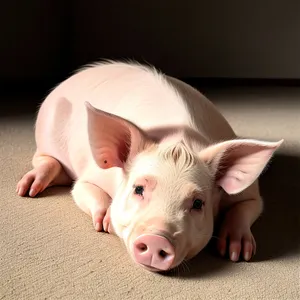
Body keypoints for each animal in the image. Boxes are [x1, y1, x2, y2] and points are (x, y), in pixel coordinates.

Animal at [16, 60, 284, 272]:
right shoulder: (90, 176)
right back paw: (27, 190)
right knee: (45, 160)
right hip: (45, 132)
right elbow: (80, 189)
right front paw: (106, 224)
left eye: (198, 203)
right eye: (138, 189)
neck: (179, 142)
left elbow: (251, 206)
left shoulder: (250, 194)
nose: (158, 239)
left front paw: (238, 253)